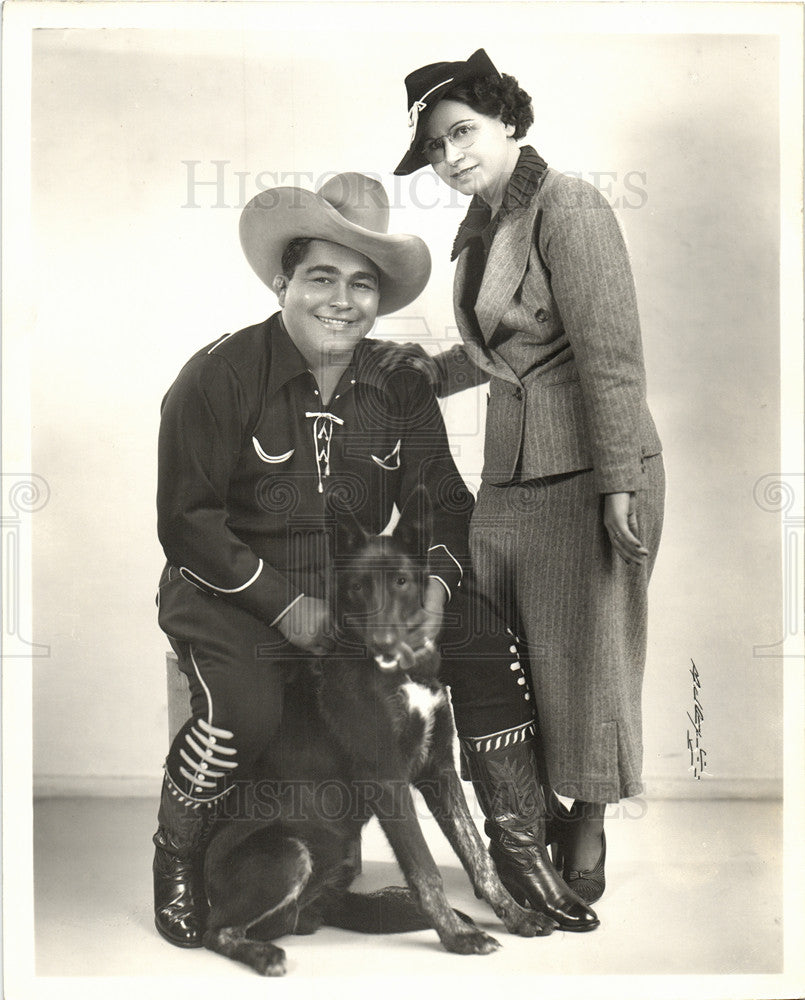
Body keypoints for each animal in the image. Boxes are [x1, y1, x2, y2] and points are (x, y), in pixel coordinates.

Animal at [201, 492, 552, 976]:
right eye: (357, 587)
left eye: (401, 581)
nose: (384, 642)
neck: (400, 673)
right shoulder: (386, 778)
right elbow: (425, 867)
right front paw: (458, 937)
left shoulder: (439, 771)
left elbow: (477, 855)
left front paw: (515, 916)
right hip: (289, 853)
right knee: (216, 931)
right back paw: (263, 953)